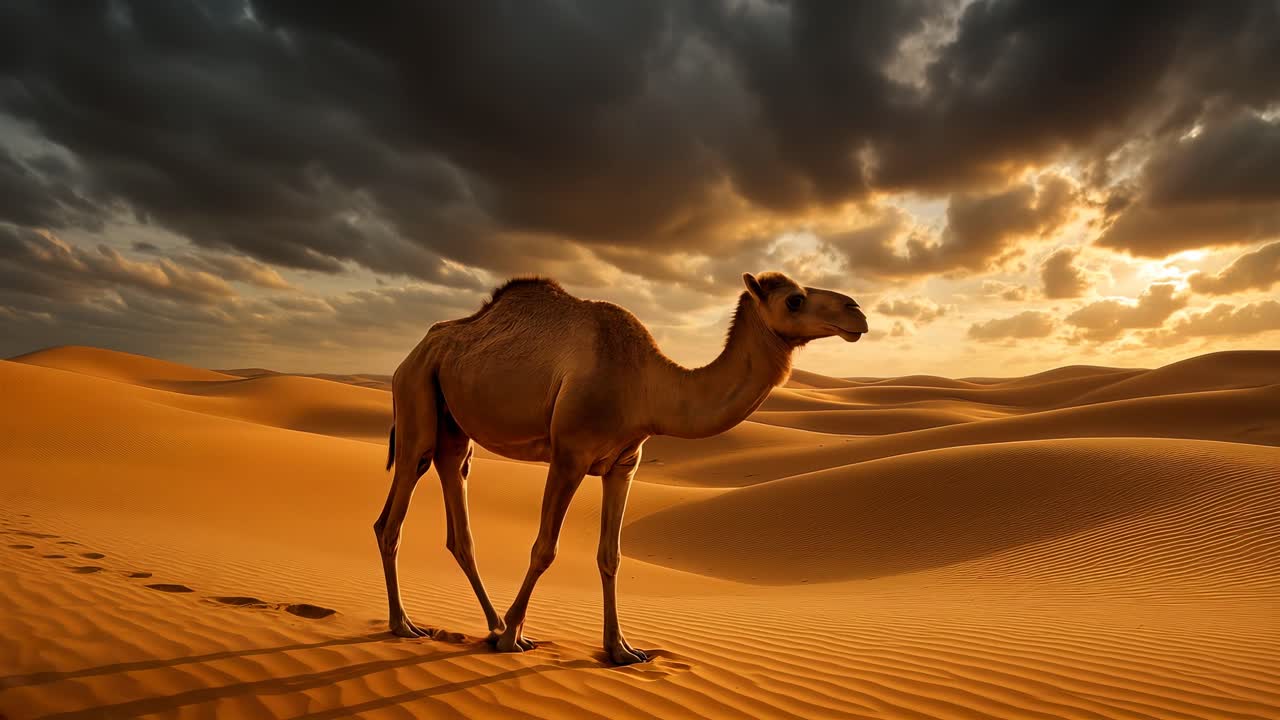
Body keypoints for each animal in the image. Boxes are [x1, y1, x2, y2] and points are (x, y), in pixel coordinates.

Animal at [376, 271, 869, 665]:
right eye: (794, 299)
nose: (857, 312)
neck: (648, 386)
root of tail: (413, 353)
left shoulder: (624, 464)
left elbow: (610, 555)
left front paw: (621, 650)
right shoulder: (569, 454)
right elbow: (544, 548)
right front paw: (514, 637)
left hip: (453, 426)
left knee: (457, 515)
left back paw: (488, 623)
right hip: (416, 395)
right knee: (393, 515)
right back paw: (407, 625)